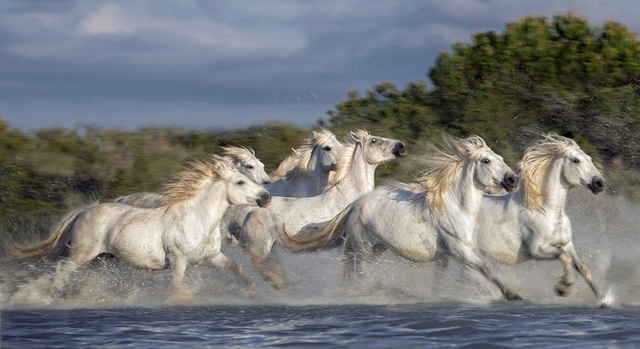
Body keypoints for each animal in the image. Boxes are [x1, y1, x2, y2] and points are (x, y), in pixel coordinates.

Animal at [8, 156, 272, 298]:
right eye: (241, 181)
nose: (266, 196)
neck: (196, 219)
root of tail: (86, 210)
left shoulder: (212, 257)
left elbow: (239, 269)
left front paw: (257, 293)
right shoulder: (178, 261)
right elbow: (177, 286)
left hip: (102, 260)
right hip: (81, 255)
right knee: (61, 272)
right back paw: (50, 297)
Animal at [235, 129, 404, 290]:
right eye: (374, 140)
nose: (401, 146)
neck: (348, 196)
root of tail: (250, 214)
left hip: (270, 249)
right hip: (260, 250)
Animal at [282, 133, 524, 300]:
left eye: (500, 157)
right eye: (486, 161)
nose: (512, 180)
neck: (454, 207)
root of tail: (355, 204)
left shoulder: (451, 255)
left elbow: (455, 277)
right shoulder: (460, 251)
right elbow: (486, 270)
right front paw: (513, 294)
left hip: (377, 248)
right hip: (363, 248)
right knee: (363, 276)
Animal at [478, 135, 608, 304]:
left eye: (589, 158)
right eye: (576, 160)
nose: (600, 183)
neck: (547, 211)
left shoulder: (566, 244)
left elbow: (582, 267)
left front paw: (603, 298)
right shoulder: (537, 251)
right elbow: (564, 257)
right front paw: (563, 288)